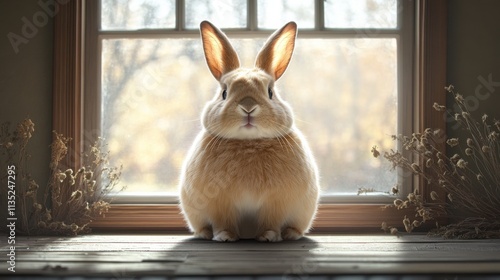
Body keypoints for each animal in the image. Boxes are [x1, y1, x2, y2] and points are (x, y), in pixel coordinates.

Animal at [180, 20, 320, 242]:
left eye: (270, 92)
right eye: (224, 93)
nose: (248, 107)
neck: (249, 142)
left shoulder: (275, 201)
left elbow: (271, 221)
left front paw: (268, 236)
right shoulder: (221, 203)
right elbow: (223, 221)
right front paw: (225, 236)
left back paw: (291, 234)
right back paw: (204, 233)